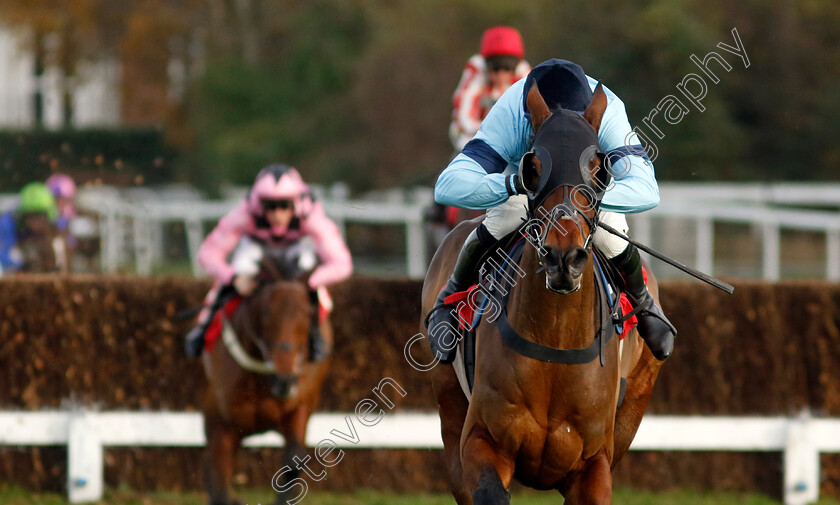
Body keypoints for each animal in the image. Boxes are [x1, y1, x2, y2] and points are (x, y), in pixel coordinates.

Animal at [203, 248, 332, 504]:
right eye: (265, 311)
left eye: (308, 312)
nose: (285, 379)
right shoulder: (221, 423)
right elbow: (219, 479)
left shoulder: (299, 406)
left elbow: (294, 460)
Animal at [424, 80, 668, 502]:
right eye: (534, 167)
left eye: (597, 168)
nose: (562, 258)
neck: (556, 339)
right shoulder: (481, 442)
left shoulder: (594, 465)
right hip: (449, 406)